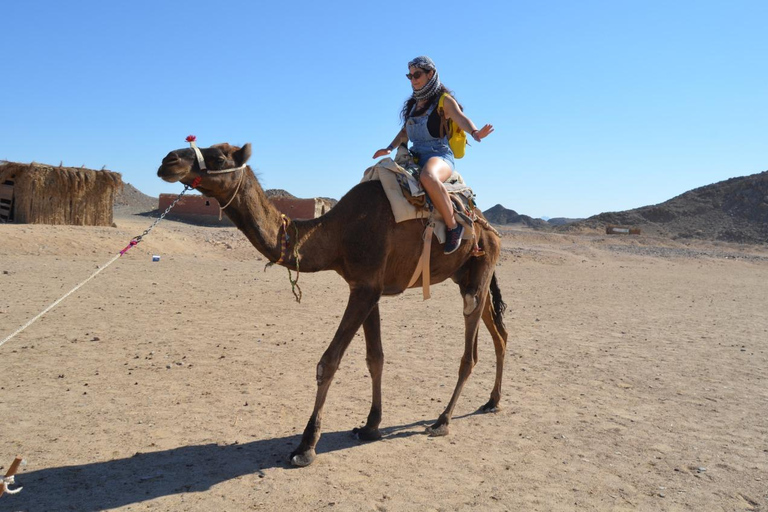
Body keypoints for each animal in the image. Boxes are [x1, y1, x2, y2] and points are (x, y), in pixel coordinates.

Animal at [157, 142, 509, 467]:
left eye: (217, 157)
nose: (168, 161)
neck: (336, 234)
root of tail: (487, 226)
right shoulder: (368, 288)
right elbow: (375, 358)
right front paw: (370, 426)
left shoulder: (365, 289)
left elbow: (328, 362)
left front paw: (306, 445)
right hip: (466, 274)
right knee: (499, 334)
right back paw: (492, 401)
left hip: (480, 267)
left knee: (471, 350)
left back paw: (443, 420)